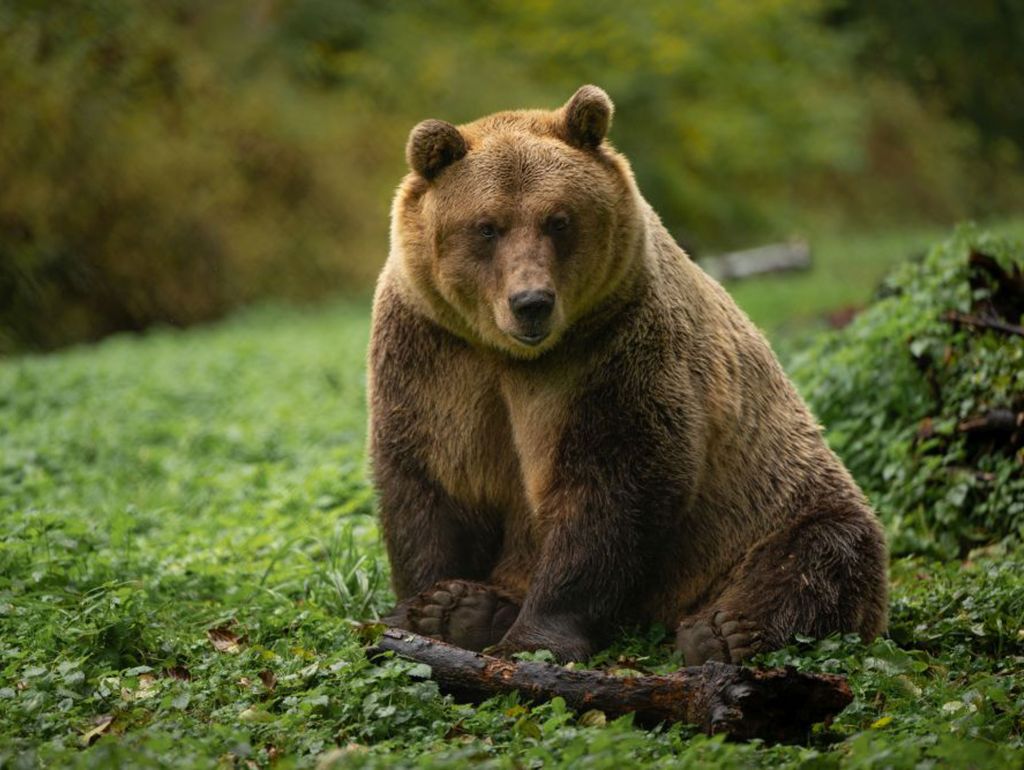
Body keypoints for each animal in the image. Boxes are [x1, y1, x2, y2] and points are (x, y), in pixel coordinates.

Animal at [370, 82, 888, 663]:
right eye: (487, 227)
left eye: (558, 220)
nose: (531, 303)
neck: (512, 357)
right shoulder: (435, 355)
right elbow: (429, 480)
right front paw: (426, 606)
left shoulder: (610, 351)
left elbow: (614, 487)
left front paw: (533, 638)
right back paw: (470, 608)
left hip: (769, 506)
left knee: (822, 552)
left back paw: (724, 630)